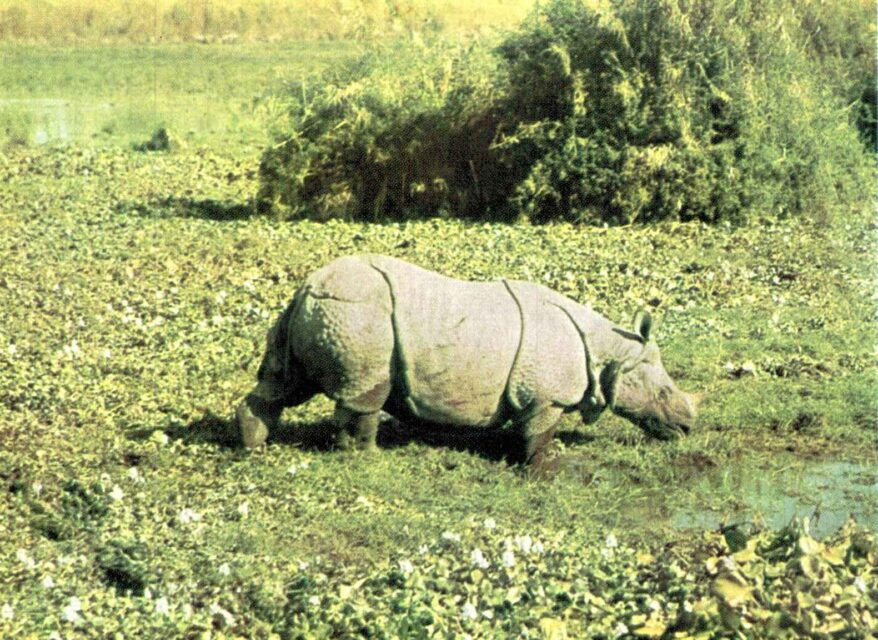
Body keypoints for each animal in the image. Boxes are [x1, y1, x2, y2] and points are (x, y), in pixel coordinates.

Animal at [236, 255, 698, 466]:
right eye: (663, 393)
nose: (686, 428)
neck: (610, 353)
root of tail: (306, 288)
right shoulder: (545, 396)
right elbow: (539, 433)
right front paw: (547, 467)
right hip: (358, 313)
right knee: (363, 392)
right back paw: (369, 457)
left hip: (322, 312)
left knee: (287, 384)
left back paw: (252, 445)